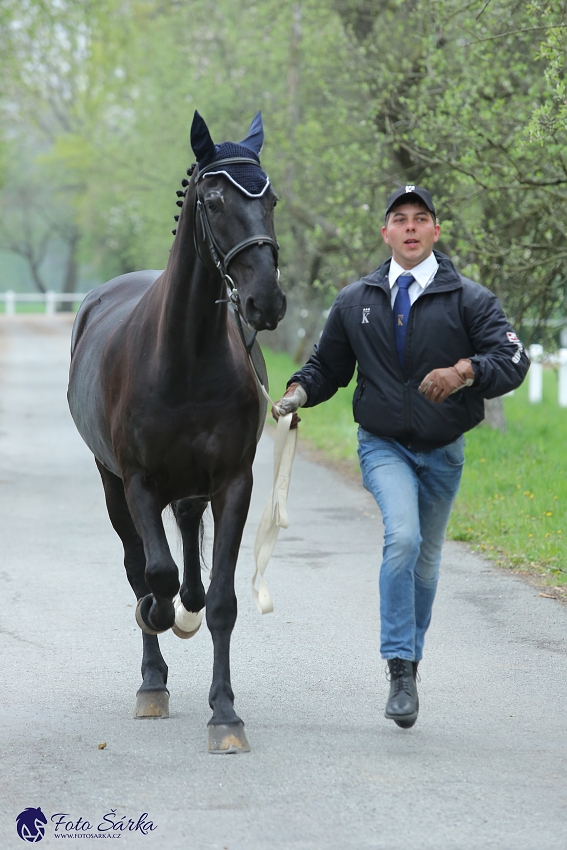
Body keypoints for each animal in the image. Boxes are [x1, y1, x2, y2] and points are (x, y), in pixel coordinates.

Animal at [68, 111, 286, 748]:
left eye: (271, 199)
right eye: (213, 201)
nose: (266, 301)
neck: (186, 356)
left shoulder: (234, 483)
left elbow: (221, 603)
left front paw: (226, 714)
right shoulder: (137, 481)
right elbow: (153, 574)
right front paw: (158, 626)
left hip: (193, 484)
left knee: (187, 535)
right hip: (112, 484)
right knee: (139, 565)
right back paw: (152, 677)